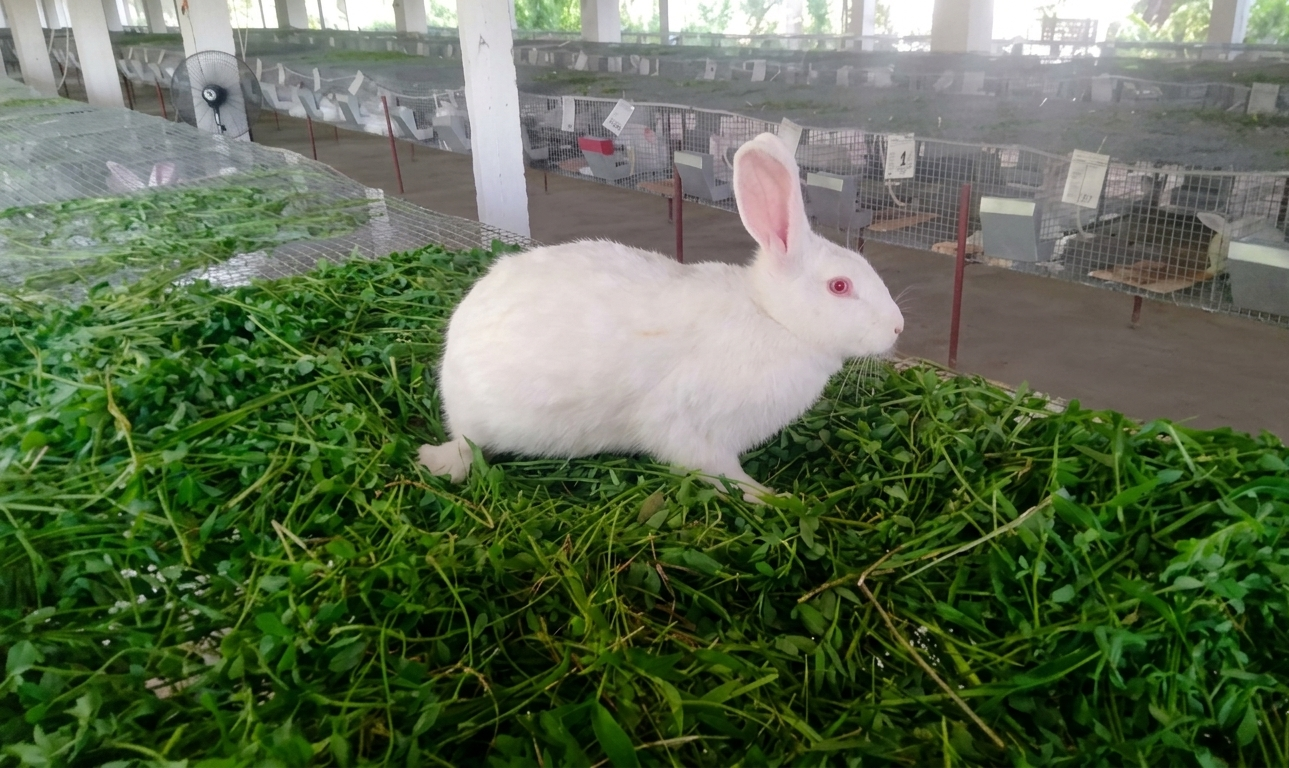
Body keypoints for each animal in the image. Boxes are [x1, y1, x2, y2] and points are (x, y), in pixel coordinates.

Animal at [418, 132, 904, 501]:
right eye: (840, 286)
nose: (898, 327)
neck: (773, 317)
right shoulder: (692, 428)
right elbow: (720, 471)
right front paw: (773, 497)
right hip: (478, 422)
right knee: (467, 445)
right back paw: (439, 462)